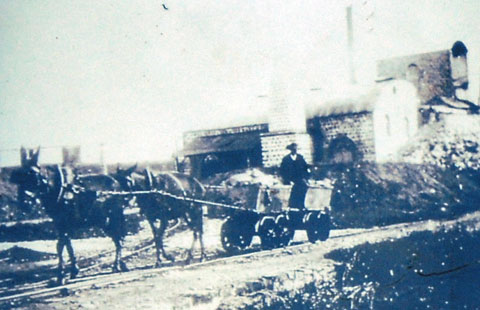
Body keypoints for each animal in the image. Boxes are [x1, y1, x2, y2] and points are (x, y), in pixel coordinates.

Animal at [9, 147, 129, 284]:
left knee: (119, 238)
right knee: (118, 238)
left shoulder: (66, 223)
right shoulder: (60, 224)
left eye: (34, 176)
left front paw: (61, 275)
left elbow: (61, 245)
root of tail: (118, 184)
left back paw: (117, 264)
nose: (24, 204)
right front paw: (73, 270)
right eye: (17, 178)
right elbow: (66, 245)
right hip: (104, 221)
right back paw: (121, 264)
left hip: (114, 217)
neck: (57, 188)